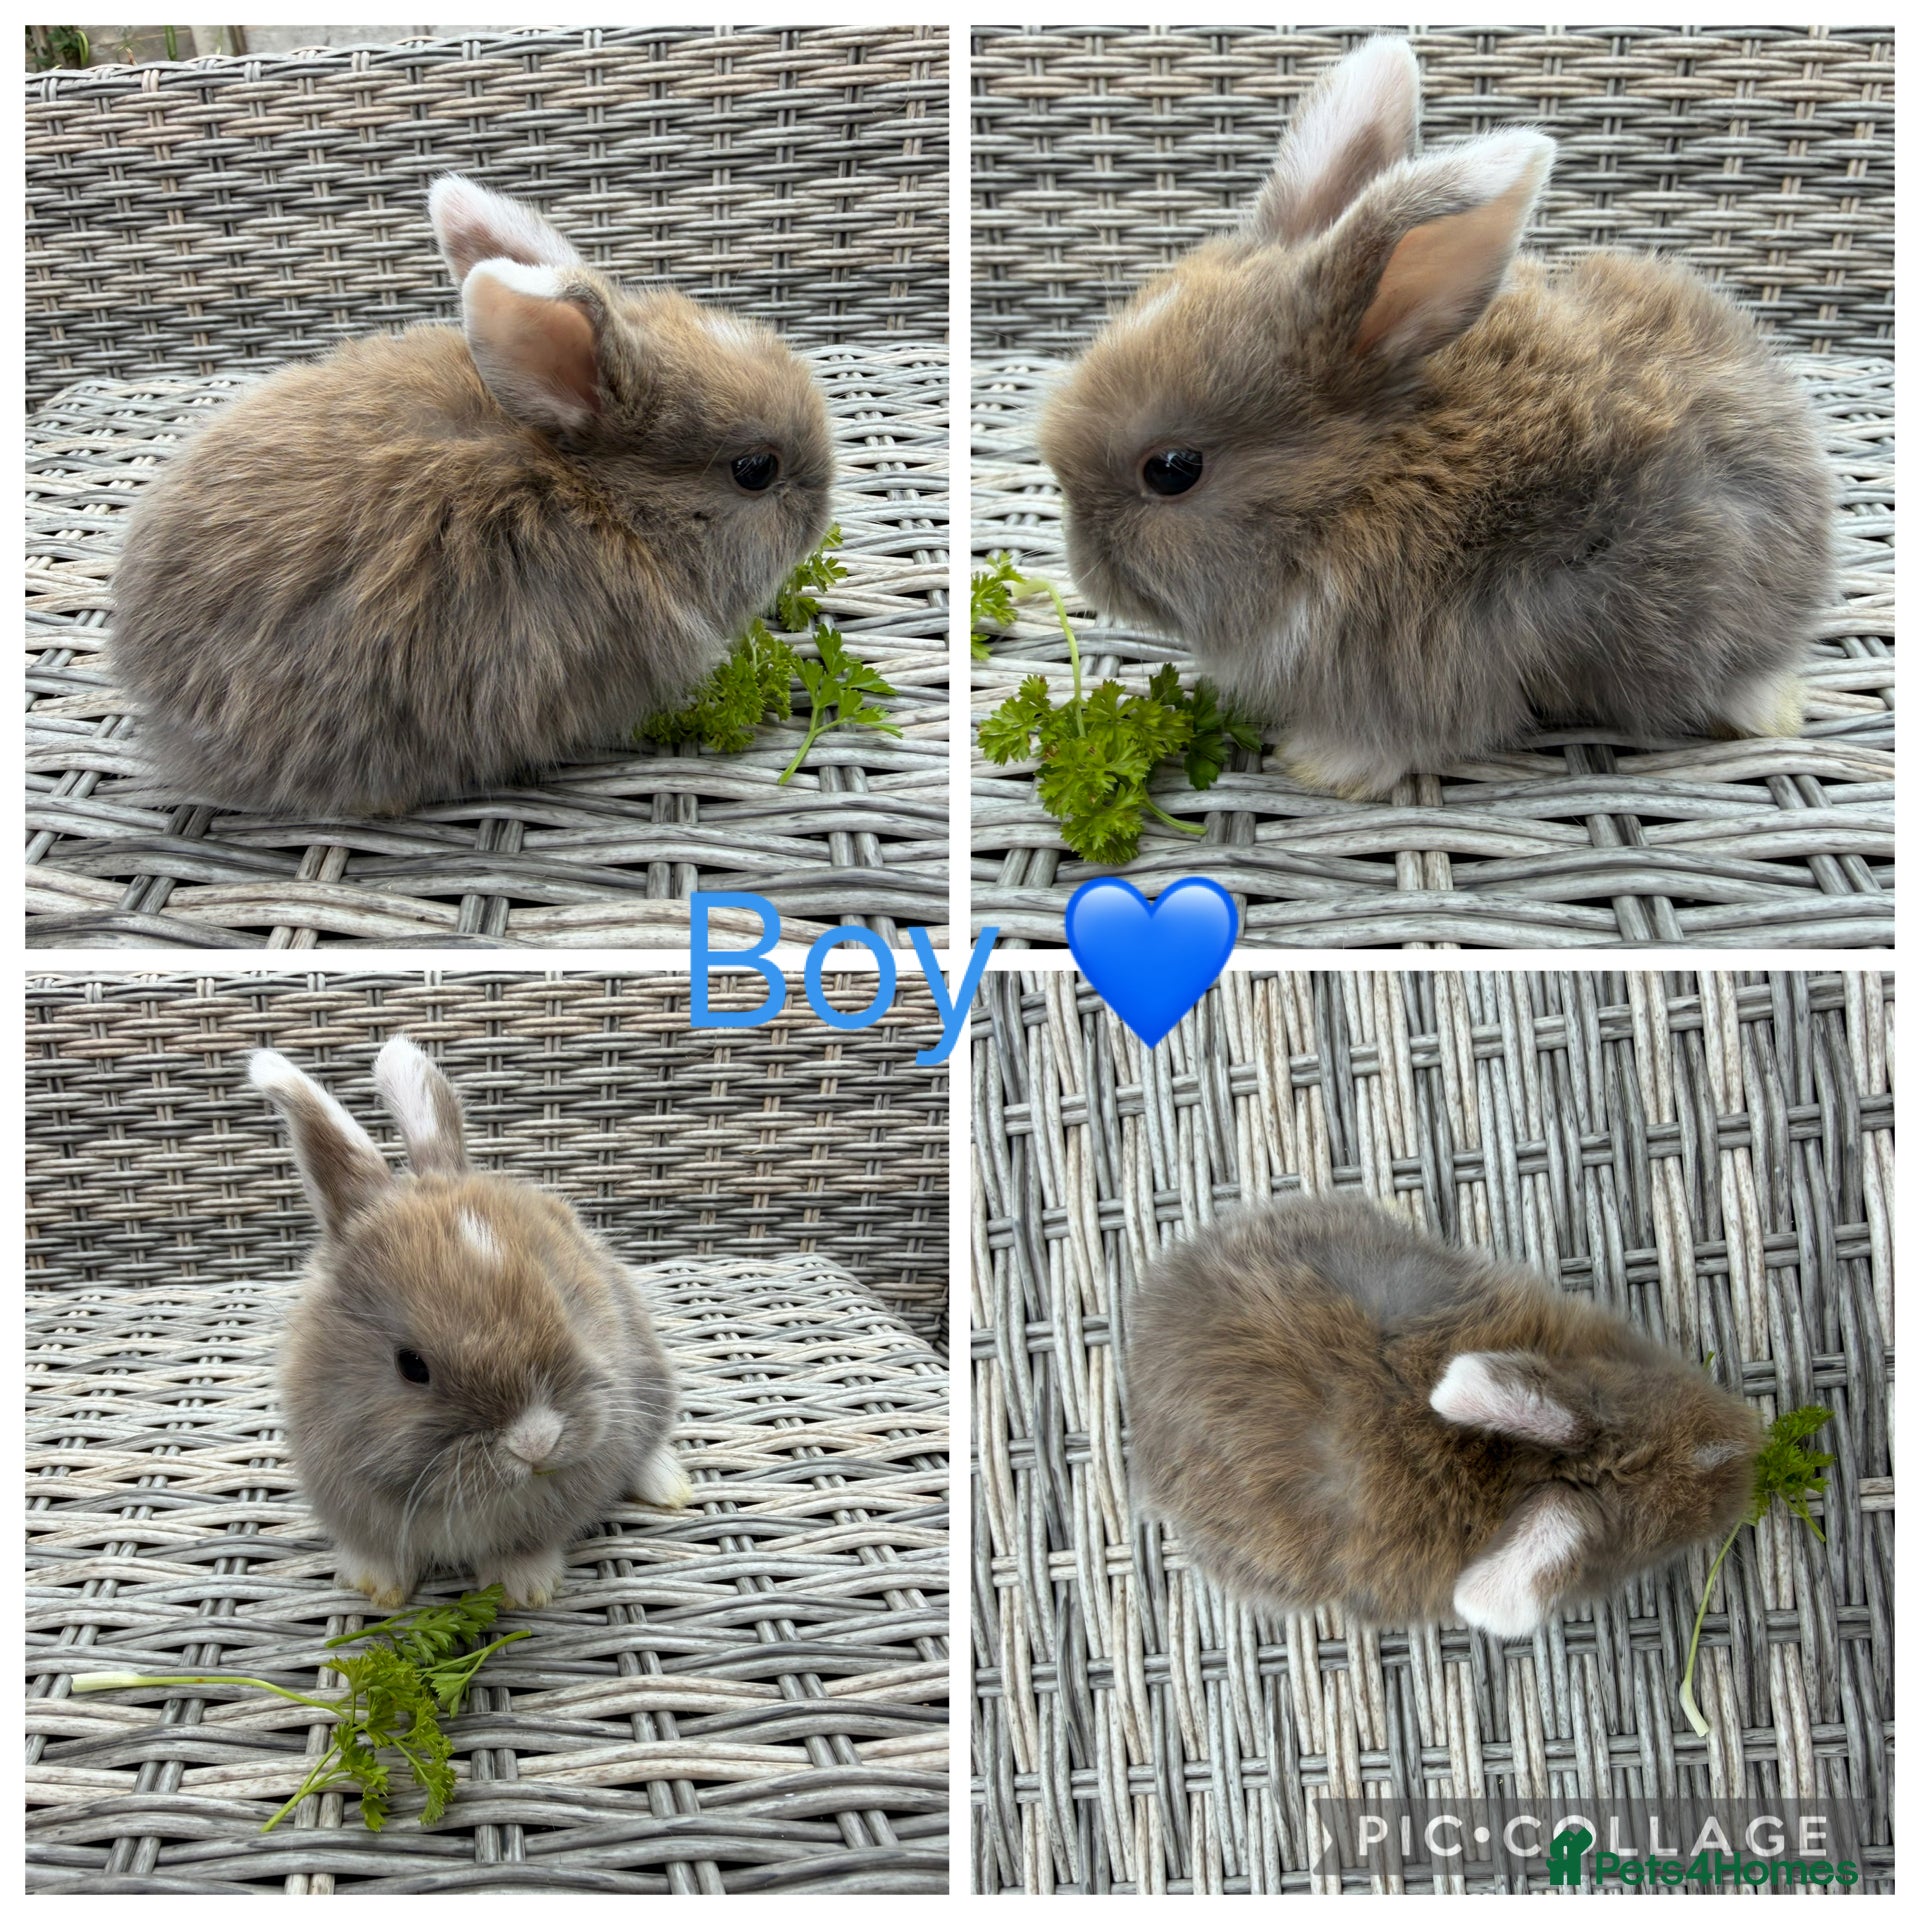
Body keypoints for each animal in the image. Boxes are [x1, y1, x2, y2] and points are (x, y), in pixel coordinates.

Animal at [250, 1035, 689, 1610]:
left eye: (565, 1304)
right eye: (411, 1365)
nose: (536, 1443)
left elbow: (525, 1549)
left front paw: (523, 1590)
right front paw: (375, 1587)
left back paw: (668, 1486)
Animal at [1038, 36, 1835, 799]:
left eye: (1173, 471)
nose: (1085, 571)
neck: (1351, 489)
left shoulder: (1416, 667)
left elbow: (1401, 737)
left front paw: (1322, 764)